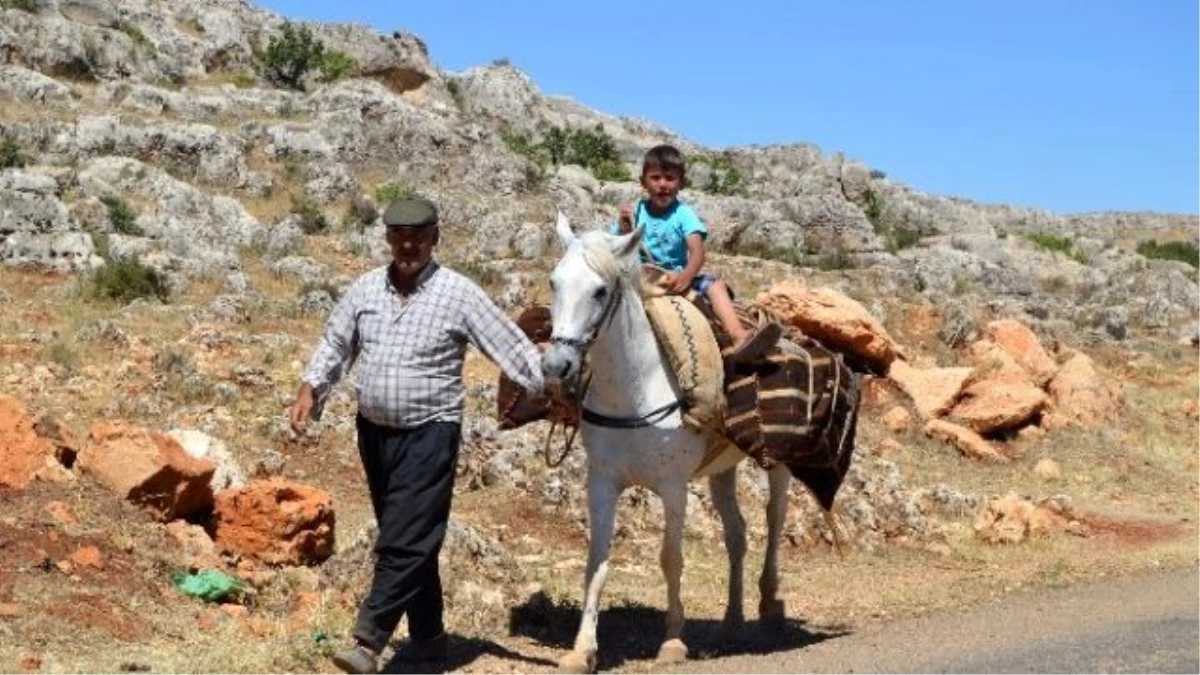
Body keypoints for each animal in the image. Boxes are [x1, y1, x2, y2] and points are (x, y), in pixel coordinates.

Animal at [540, 212, 792, 667]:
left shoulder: (673, 487)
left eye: (600, 291)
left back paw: (769, 606)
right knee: (737, 534)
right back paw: (732, 621)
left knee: (774, 519)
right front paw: (582, 650)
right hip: (723, 469)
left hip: (778, 462)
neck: (634, 390)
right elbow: (596, 562)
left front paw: (673, 641)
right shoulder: (601, 483)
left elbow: (671, 559)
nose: (556, 366)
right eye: (554, 282)